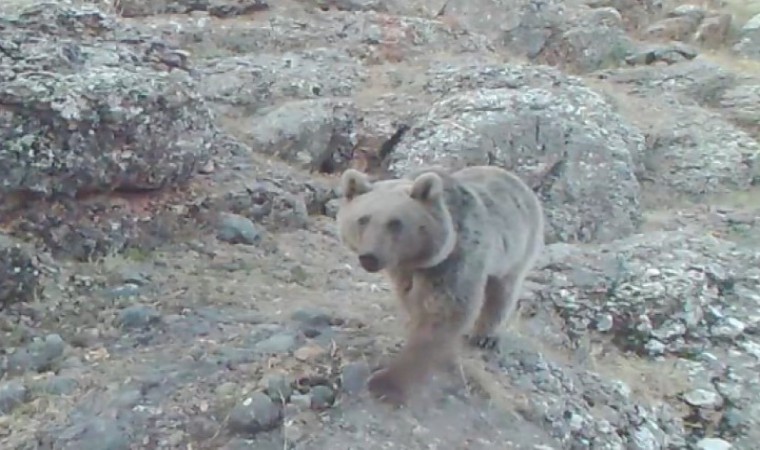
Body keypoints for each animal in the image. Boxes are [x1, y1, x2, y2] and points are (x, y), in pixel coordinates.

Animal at [335, 164, 545, 405]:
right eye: (363, 219)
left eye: (395, 223)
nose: (370, 257)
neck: (419, 260)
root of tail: (511, 176)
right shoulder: (404, 272)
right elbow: (412, 301)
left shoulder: (455, 260)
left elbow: (443, 313)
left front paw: (387, 382)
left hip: (516, 248)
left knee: (503, 291)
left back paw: (484, 336)